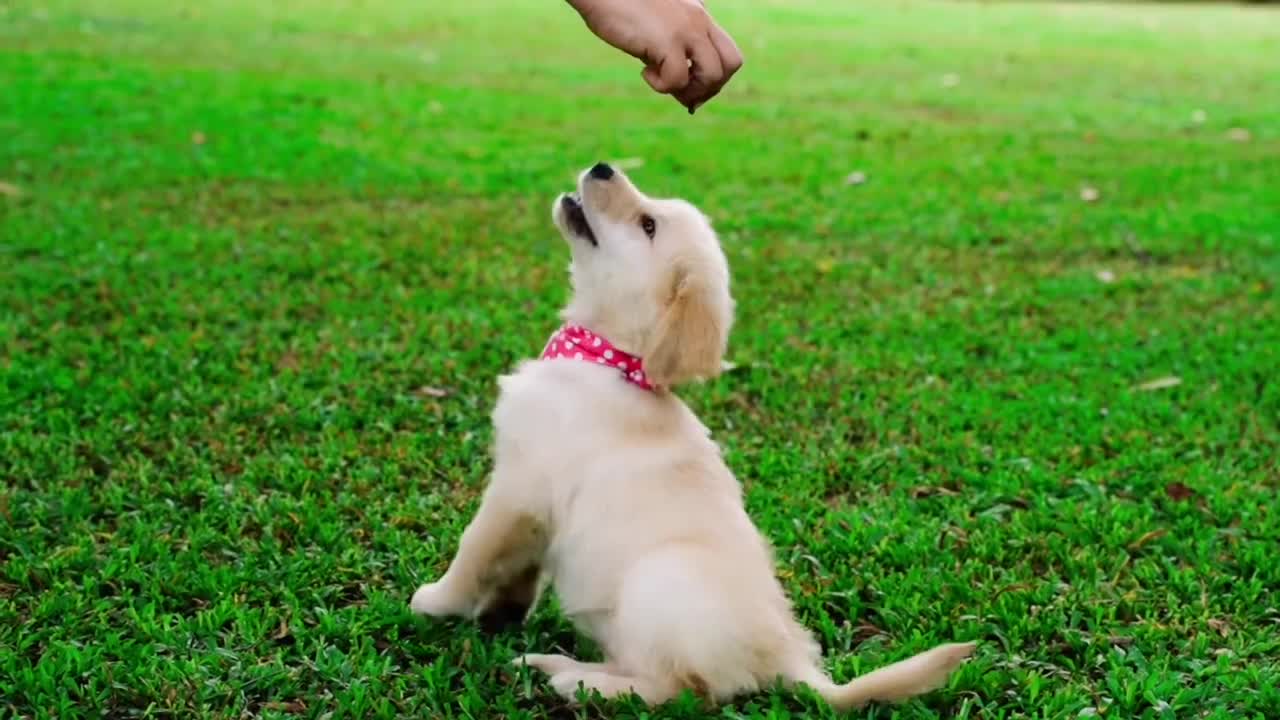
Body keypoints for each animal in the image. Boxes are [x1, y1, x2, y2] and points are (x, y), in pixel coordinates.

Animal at [409, 162, 967, 707]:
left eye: (648, 226)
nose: (604, 167)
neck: (605, 358)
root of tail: (789, 662)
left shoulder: (517, 488)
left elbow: (474, 550)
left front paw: (436, 601)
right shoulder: (535, 511)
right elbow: (518, 571)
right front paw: (500, 616)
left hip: (657, 583)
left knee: (682, 690)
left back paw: (576, 680)